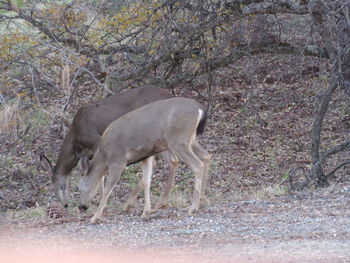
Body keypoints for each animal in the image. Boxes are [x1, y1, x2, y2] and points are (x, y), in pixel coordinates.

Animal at [39, 86, 185, 210]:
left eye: (61, 186)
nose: (64, 204)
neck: (76, 145)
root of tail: (169, 95)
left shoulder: (97, 141)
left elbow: (102, 173)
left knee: (162, 161)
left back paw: (130, 203)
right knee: (173, 160)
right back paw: (161, 202)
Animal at [78, 98, 211, 224]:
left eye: (78, 187)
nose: (81, 207)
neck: (104, 156)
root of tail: (200, 109)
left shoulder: (117, 161)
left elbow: (107, 189)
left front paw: (95, 217)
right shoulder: (146, 156)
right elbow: (147, 182)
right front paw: (146, 212)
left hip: (178, 140)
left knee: (197, 165)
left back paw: (193, 207)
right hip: (190, 140)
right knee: (206, 156)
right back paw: (203, 200)